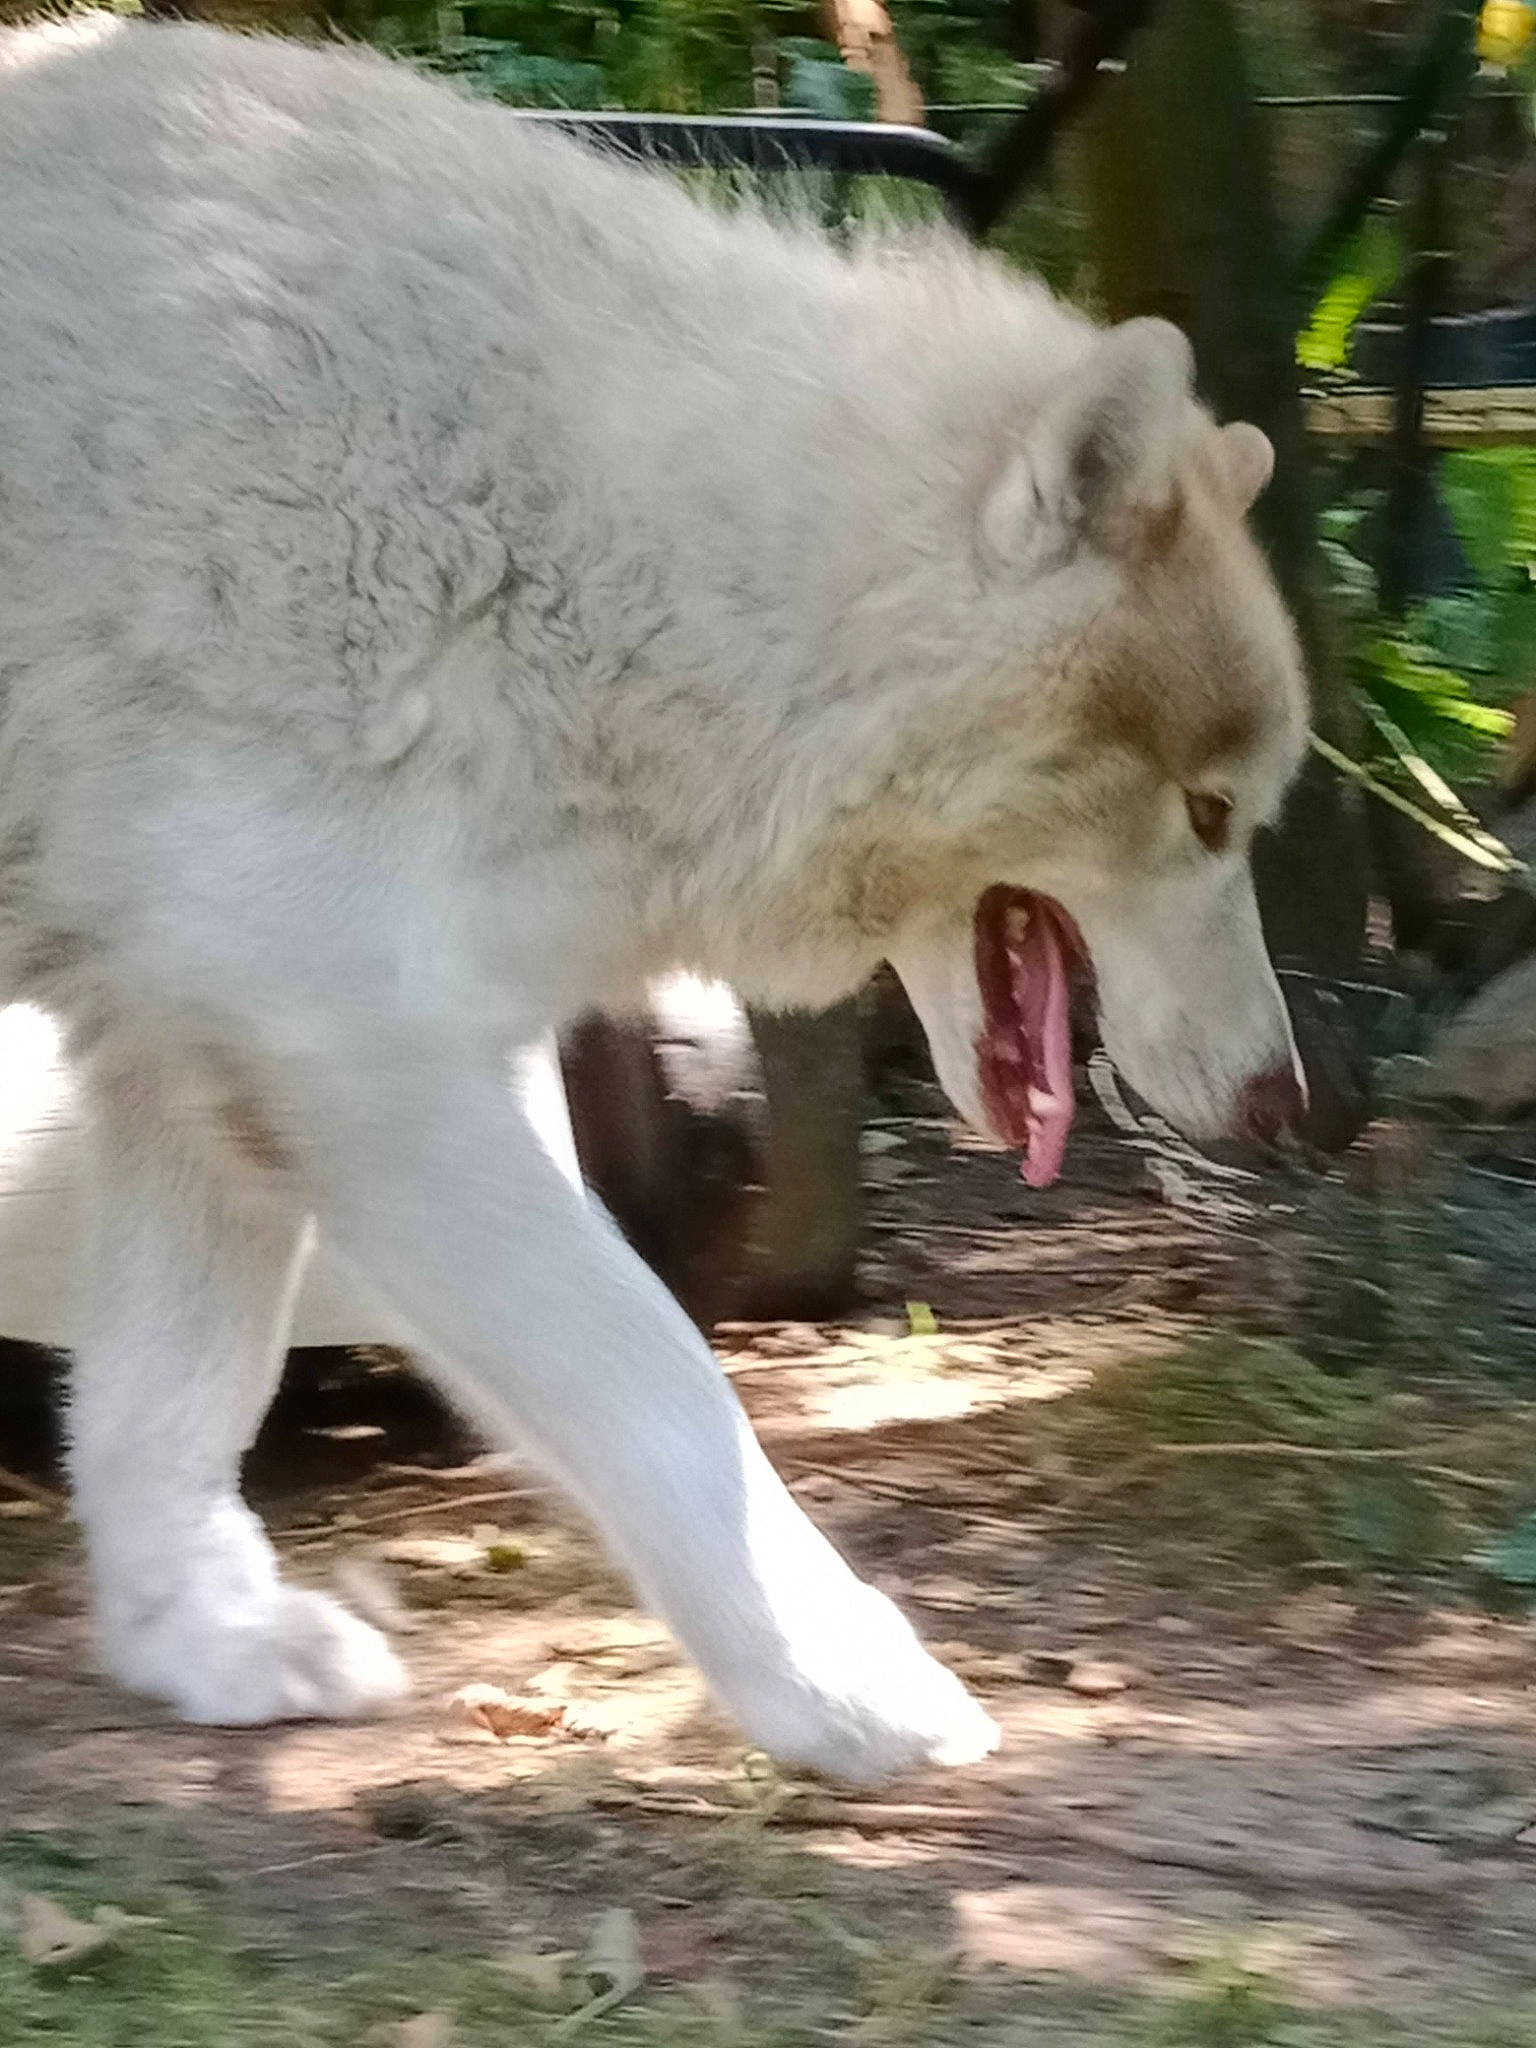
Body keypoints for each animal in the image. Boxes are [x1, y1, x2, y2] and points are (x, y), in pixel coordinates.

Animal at [0, 17, 1307, 1783]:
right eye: (1210, 812)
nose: (1292, 1109)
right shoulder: (351, 1062)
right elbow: (664, 1388)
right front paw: (847, 1685)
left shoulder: (195, 1056)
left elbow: (168, 1406)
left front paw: (202, 1642)